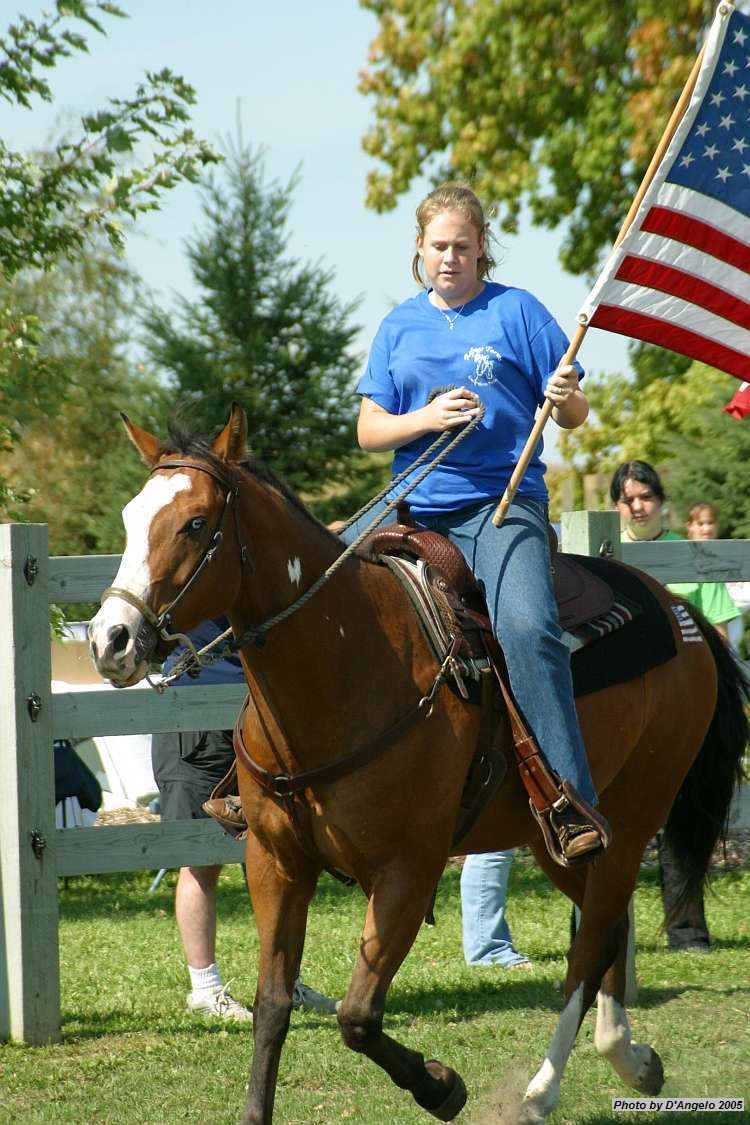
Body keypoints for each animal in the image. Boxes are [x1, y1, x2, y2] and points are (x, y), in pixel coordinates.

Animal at [91, 407, 746, 1125]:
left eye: (196, 522)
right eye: (128, 518)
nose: (110, 639)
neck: (347, 661)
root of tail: (681, 611)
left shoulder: (407, 867)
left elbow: (357, 1015)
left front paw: (441, 1085)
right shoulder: (276, 861)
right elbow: (273, 1006)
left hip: (631, 820)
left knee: (591, 941)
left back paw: (542, 1089)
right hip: (554, 842)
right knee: (608, 931)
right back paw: (630, 1058)